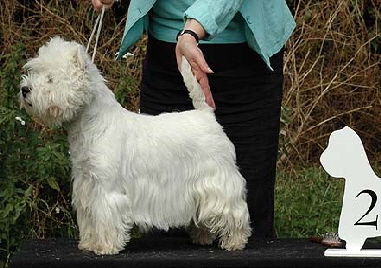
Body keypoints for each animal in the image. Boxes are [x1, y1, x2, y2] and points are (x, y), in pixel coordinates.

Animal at [21, 36, 252, 254]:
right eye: (35, 72)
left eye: (50, 79)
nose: (24, 89)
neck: (90, 125)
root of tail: (206, 115)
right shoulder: (86, 183)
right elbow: (90, 218)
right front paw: (89, 243)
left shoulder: (106, 189)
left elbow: (105, 217)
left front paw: (105, 247)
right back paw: (202, 237)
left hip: (218, 180)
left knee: (235, 211)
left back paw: (235, 242)